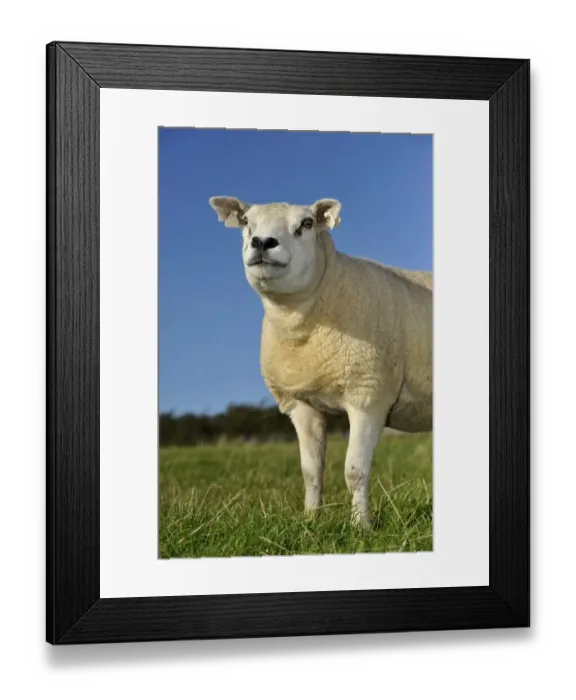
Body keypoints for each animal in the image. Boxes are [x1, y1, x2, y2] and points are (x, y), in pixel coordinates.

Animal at [209, 196, 432, 528]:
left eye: (307, 223)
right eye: (247, 221)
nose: (262, 242)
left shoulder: (368, 395)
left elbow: (355, 471)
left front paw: (361, 526)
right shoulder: (302, 403)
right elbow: (311, 471)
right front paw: (311, 520)